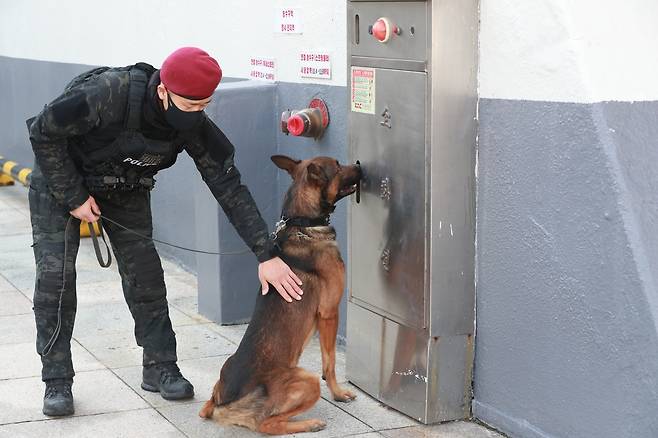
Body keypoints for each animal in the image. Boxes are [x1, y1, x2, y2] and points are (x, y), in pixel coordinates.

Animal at [199, 154, 362, 434]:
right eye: (339, 166)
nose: (361, 166)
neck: (303, 223)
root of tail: (222, 402)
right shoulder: (329, 312)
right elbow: (329, 362)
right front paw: (339, 394)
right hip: (306, 380)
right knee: (268, 424)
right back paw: (310, 423)